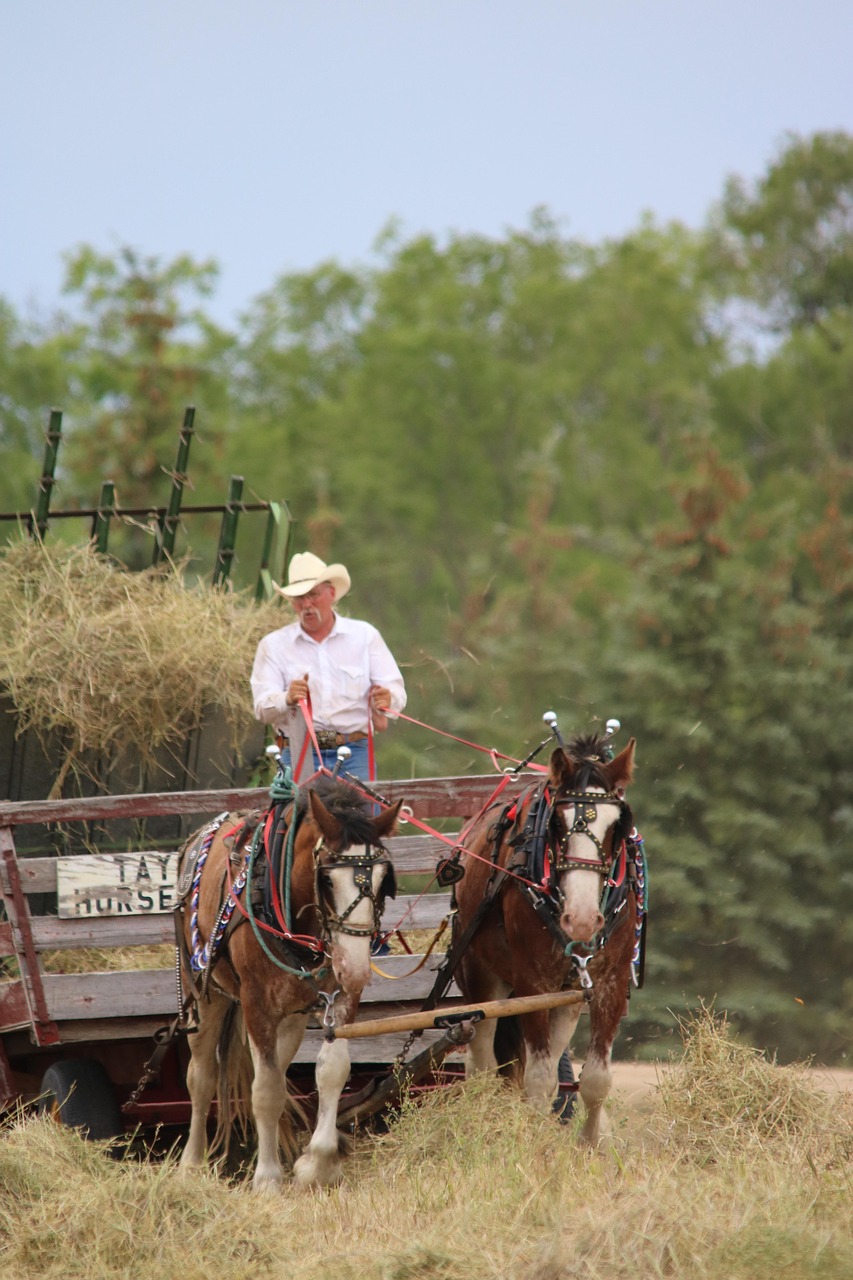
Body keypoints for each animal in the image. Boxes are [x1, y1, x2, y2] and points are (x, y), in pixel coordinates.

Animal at [176, 768, 402, 1187]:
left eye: (383, 880)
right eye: (327, 881)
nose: (357, 969)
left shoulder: (338, 1000)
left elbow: (331, 1072)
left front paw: (316, 1164)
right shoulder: (256, 1005)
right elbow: (264, 1090)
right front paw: (267, 1179)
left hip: (292, 1016)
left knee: (278, 1070)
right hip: (205, 990)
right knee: (202, 1076)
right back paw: (192, 1164)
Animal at [455, 737, 635, 1146]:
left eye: (617, 826)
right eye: (556, 822)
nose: (581, 920)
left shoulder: (609, 982)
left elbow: (595, 1079)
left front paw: (591, 1143)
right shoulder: (533, 983)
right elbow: (536, 1080)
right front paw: (532, 1144)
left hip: (567, 996)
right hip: (481, 977)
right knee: (481, 1064)